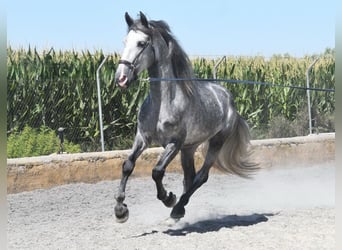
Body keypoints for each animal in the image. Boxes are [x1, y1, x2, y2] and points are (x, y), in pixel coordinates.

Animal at [114, 11, 256, 223]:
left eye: (141, 43)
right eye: (125, 41)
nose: (121, 78)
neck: (163, 103)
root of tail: (229, 100)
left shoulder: (175, 143)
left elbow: (157, 171)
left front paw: (168, 198)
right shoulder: (143, 137)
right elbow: (128, 165)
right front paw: (120, 210)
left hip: (215, 142)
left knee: (202, 176)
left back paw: (177, 208)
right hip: (189, 148)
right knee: (189, 177)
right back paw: (178, 211)